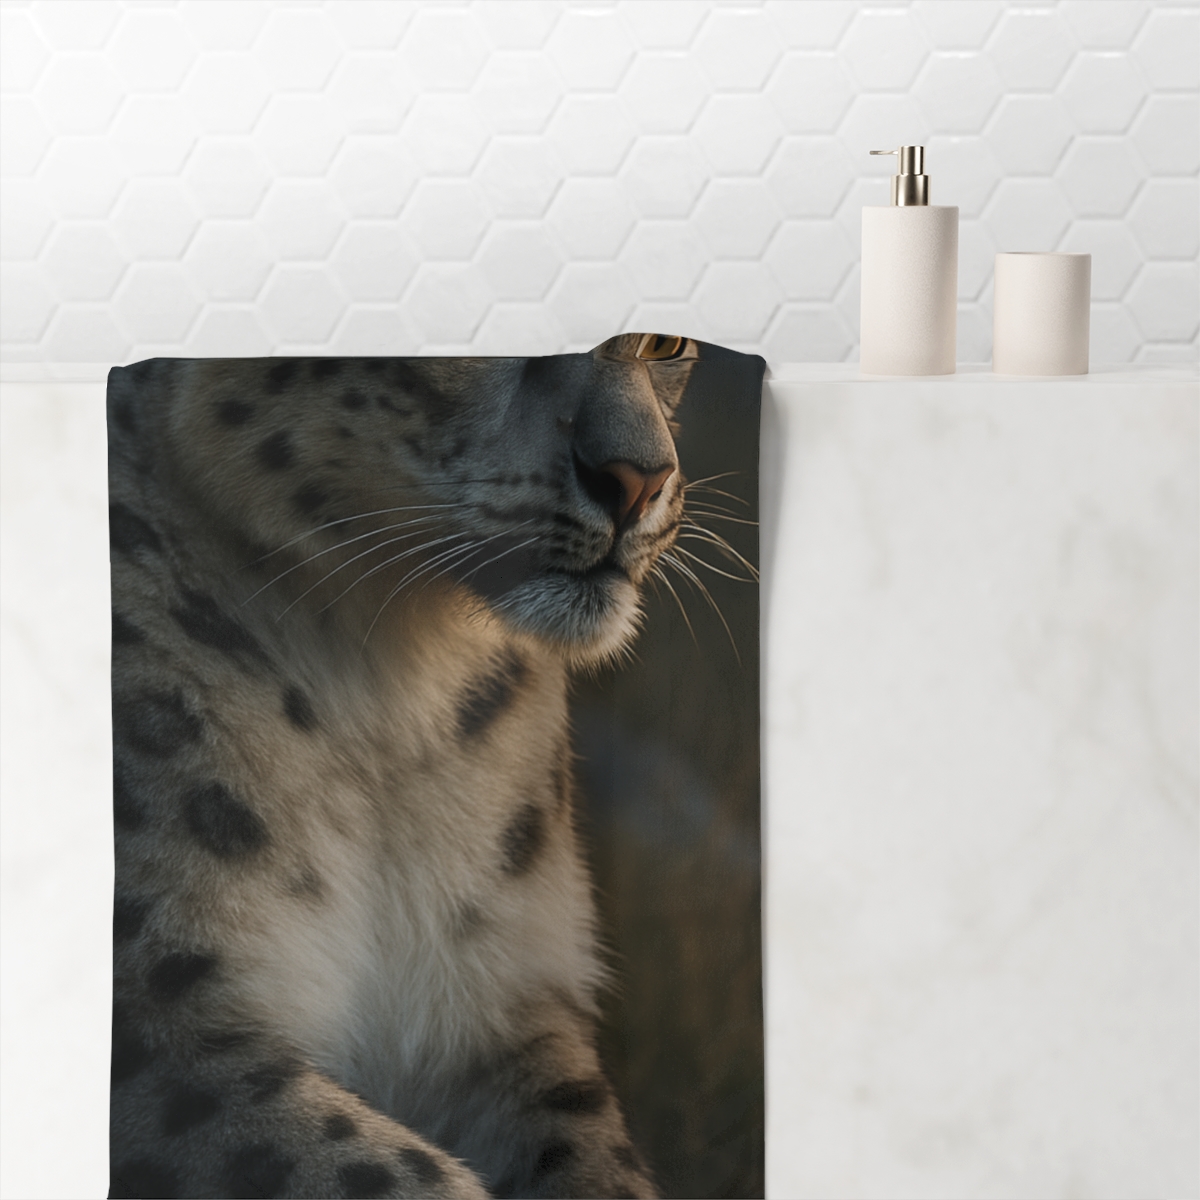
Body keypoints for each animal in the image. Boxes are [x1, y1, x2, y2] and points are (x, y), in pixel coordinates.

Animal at [107, 333, 702, 1199]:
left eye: (666, 345)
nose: (640, 480)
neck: (388, 686)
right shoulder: (159, 1015)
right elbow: (378, 1169)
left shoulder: (507, 999)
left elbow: (591, 1153)